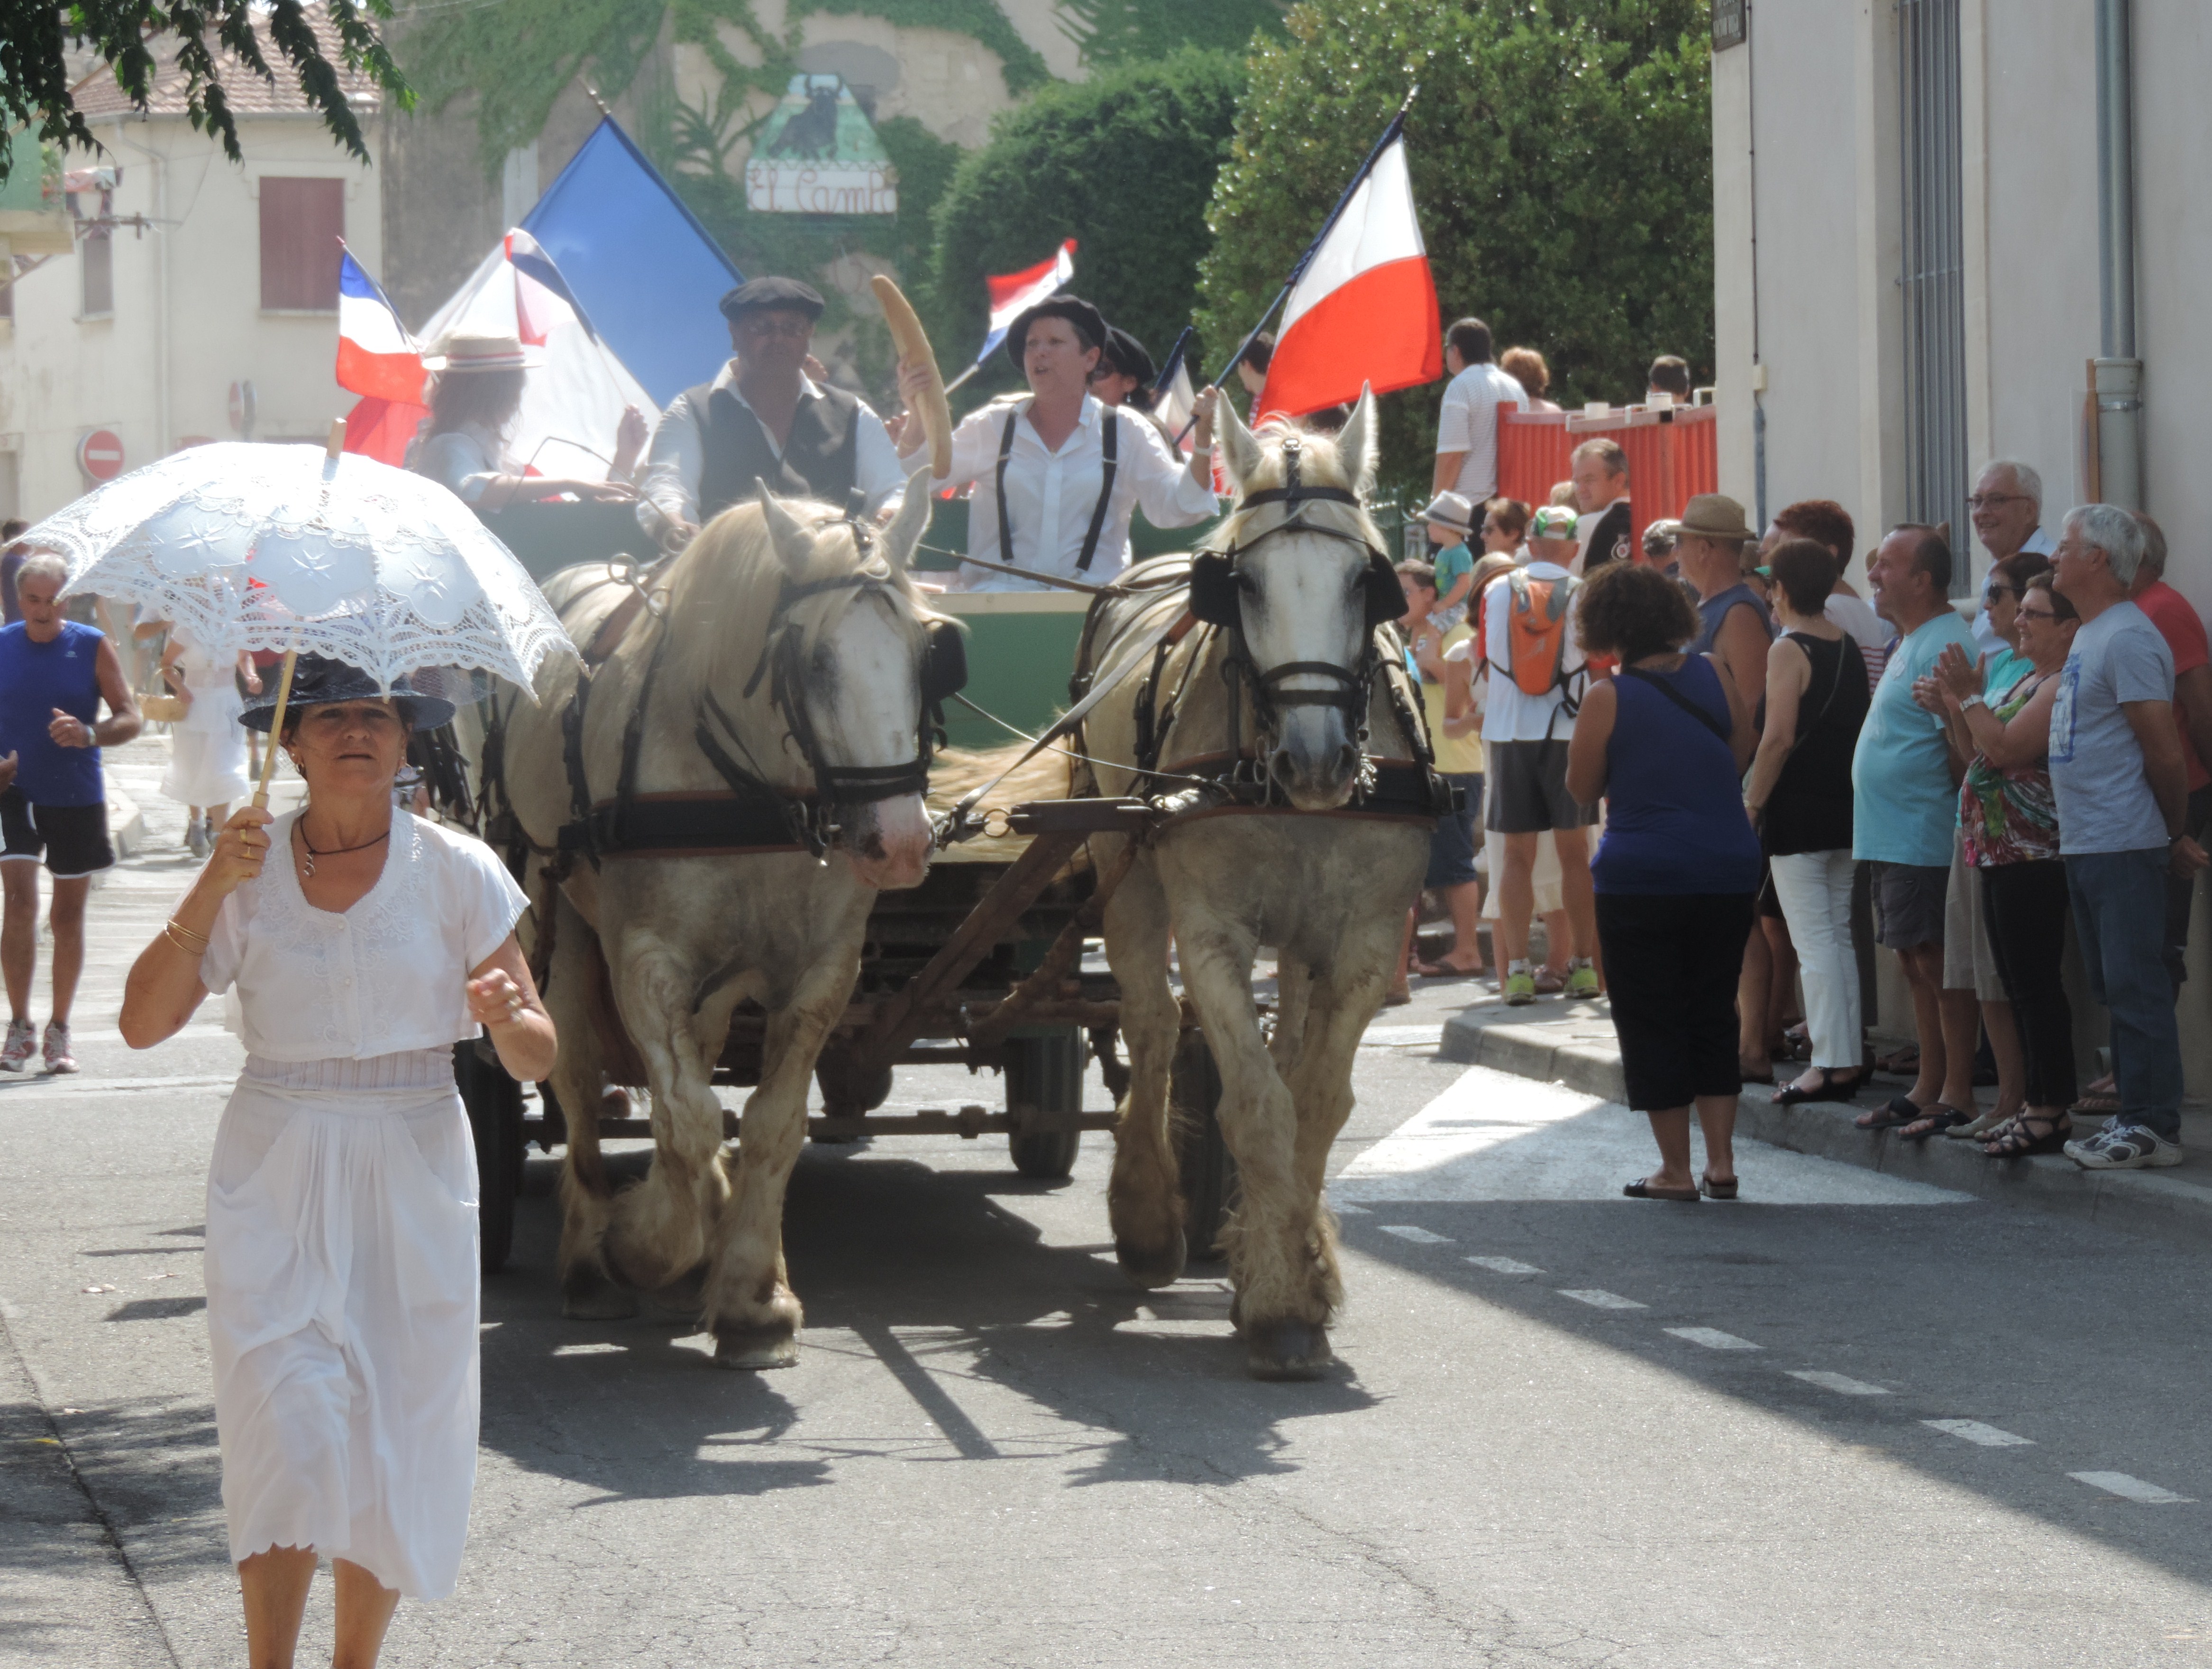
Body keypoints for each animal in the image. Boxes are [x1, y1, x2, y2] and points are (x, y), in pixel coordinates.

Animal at [1075, 394, 1433, 1381]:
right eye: (1246, 586)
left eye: (1364, 582)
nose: (1320, 761)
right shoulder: (1210, 932)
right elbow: (1255, 1101)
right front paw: (1278, 1306)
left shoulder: (1365, 942)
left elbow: (1315, 1100)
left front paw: (1295, 1271)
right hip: (1123, 869)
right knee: (1151, 1026)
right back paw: (1148, 1218)